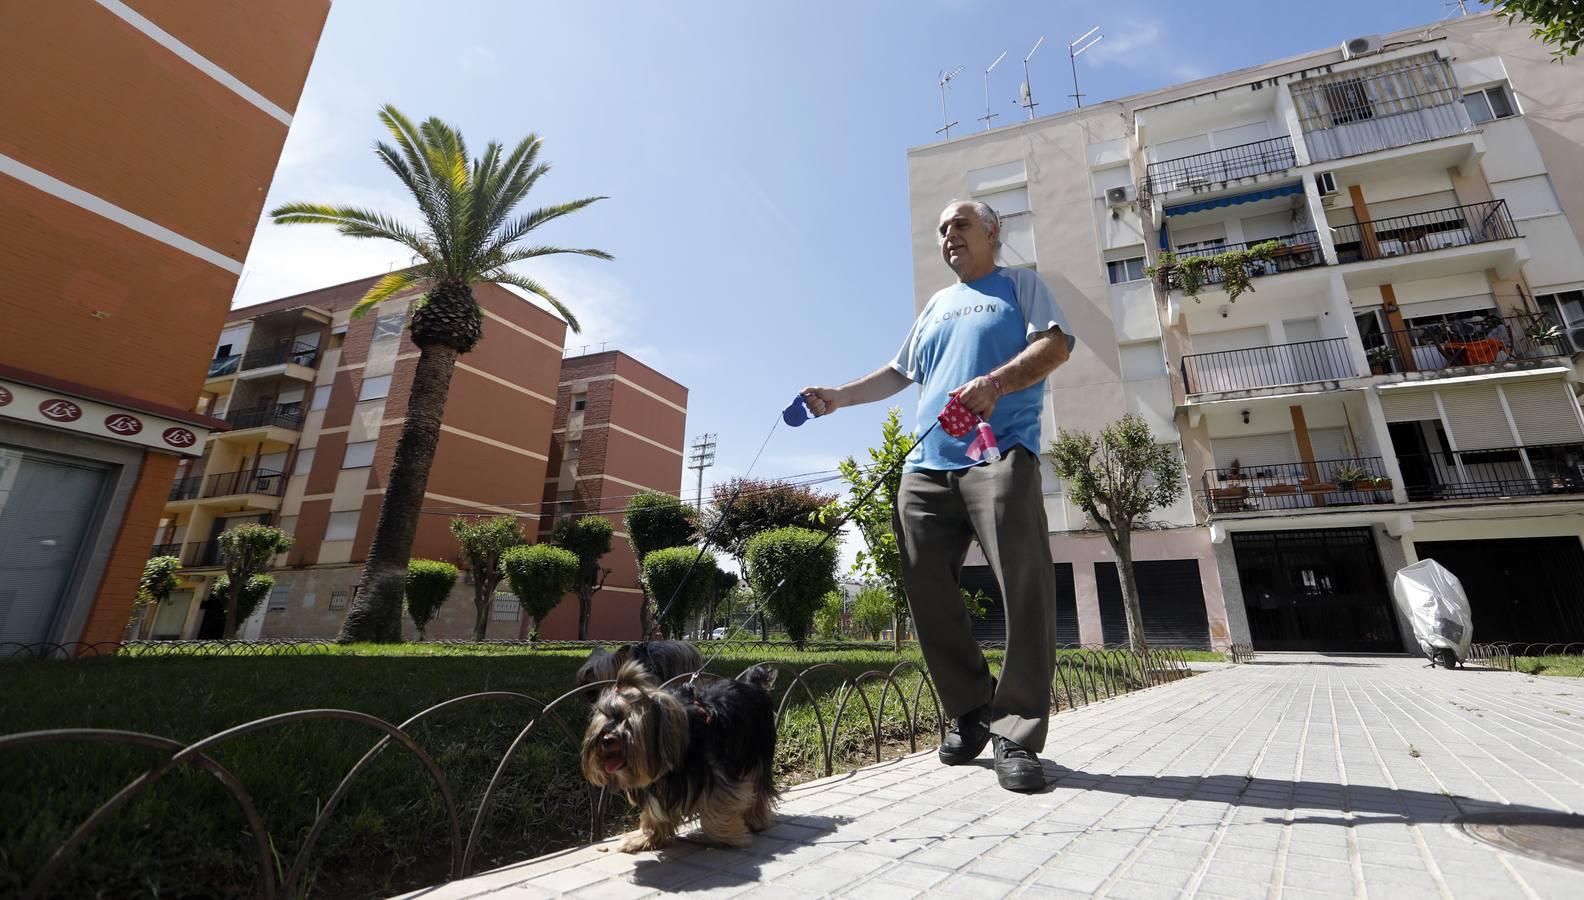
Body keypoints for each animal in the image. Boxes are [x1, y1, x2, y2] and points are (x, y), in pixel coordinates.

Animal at [582, 662, 779, 849]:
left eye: (628, 722)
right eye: (605, 717)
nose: (606, 739)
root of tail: (752, 685)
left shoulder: (714, 774)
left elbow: (718, 806)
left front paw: (733, 837)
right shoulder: (657, 781)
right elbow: (654, 812)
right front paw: (645, 839)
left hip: (757, 748)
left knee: (757, 783)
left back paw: (756, 820)